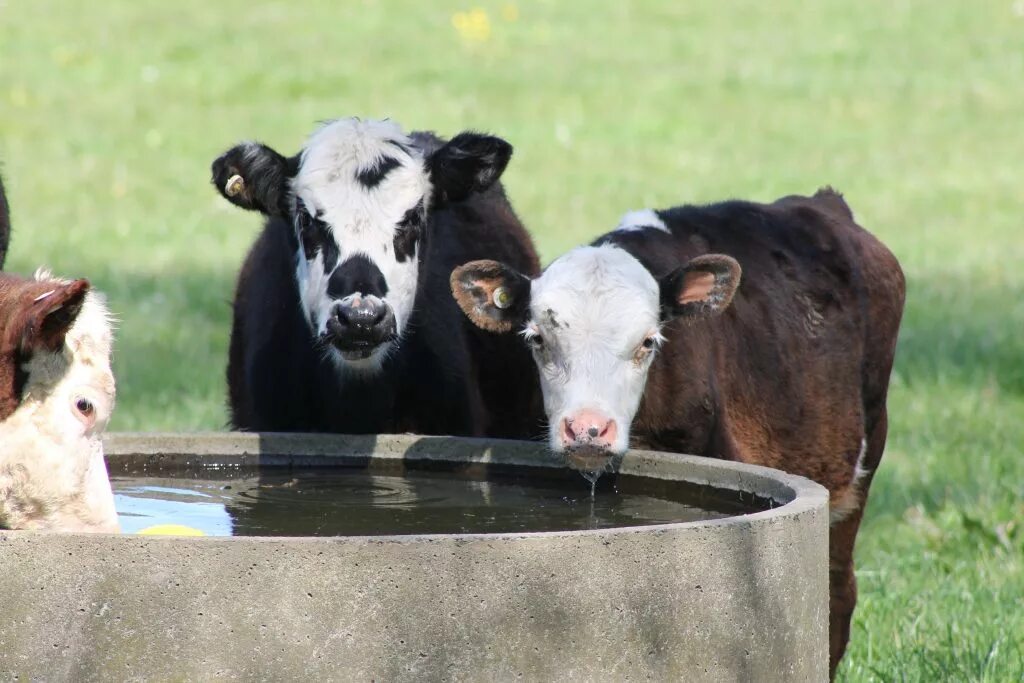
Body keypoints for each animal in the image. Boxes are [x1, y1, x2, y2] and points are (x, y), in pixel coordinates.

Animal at [448, 188, 905, 679]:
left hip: (860, 465)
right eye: (537, 339)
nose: (588, 428)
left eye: (648, 342)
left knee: (838, 591)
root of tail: (822, 204)